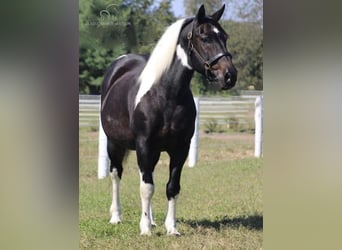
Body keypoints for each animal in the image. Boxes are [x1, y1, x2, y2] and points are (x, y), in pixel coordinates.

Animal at [100, 4, 236, 236]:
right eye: (204, 37)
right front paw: (145, 229)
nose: (229, 75)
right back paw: (116, 217)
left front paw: (171, 228)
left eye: (224, 37)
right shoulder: (144, 145)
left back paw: (153, 220)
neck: (165, 94)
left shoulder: (180, 148)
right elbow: (146, 188)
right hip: (114, 144)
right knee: (116, 175)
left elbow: (171, 187)